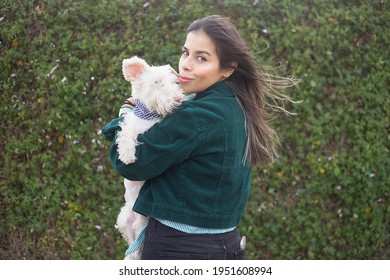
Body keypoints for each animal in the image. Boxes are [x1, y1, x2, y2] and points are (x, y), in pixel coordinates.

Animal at [115, 55, 185, 260]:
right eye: (157, 82)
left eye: (174, 82)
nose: (178, 99)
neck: (151, 117)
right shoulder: (129, 126)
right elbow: (126, 136)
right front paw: (127, 156)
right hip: (124, 218)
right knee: (132, 242)